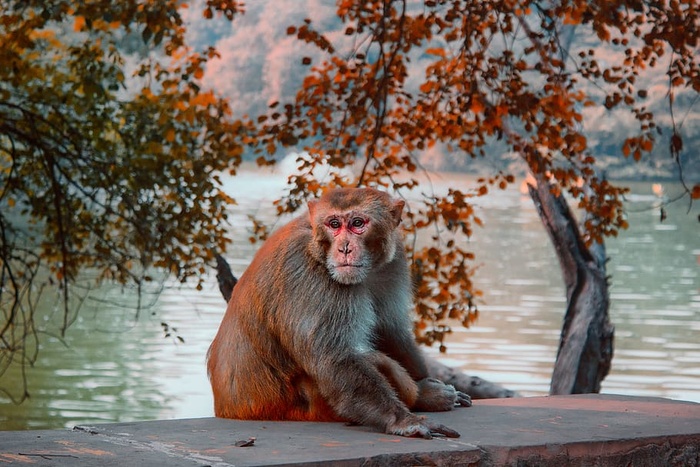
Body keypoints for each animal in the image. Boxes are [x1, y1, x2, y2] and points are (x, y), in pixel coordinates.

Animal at [208, 186, 470, 438]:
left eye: (357, 223)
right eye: (334, 224)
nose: (344, 248)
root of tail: (228, 408)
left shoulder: (394, 261)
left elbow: (389, 329)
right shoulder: (306, 270)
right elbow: (334, 358)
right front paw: (403, 420)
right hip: (311, 407)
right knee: (368, 359)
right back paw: (419, 397)